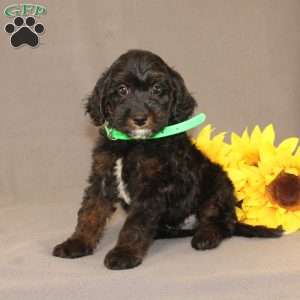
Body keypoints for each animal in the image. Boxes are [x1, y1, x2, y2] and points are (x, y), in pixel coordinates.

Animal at [53, 49, 282, 270]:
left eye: (157, 89)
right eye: (122, 90)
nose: (140, 119)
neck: (132, 145)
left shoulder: (152, 188)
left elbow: (135, 224)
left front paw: (124, 254)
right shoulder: (102, 177)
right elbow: (90, 213)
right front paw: (76, 243)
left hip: (218, 184)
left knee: (221, 222)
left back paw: (206, 236)